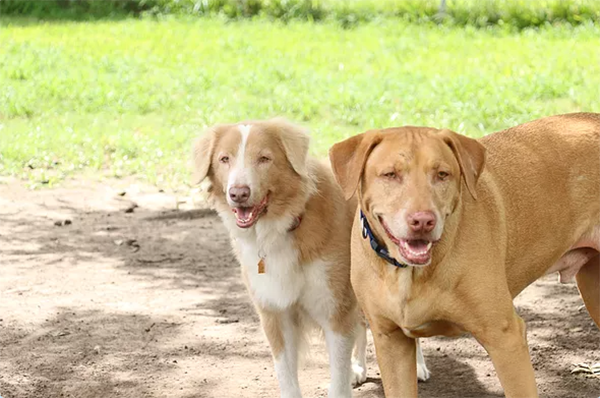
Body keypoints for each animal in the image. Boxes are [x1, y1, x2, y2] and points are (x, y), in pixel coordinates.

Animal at [328, 112, 600, 398]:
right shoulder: (392, 342)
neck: (410, 274)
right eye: (390, 174)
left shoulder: (506, 338)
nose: (423, 221)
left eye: (442, 174)